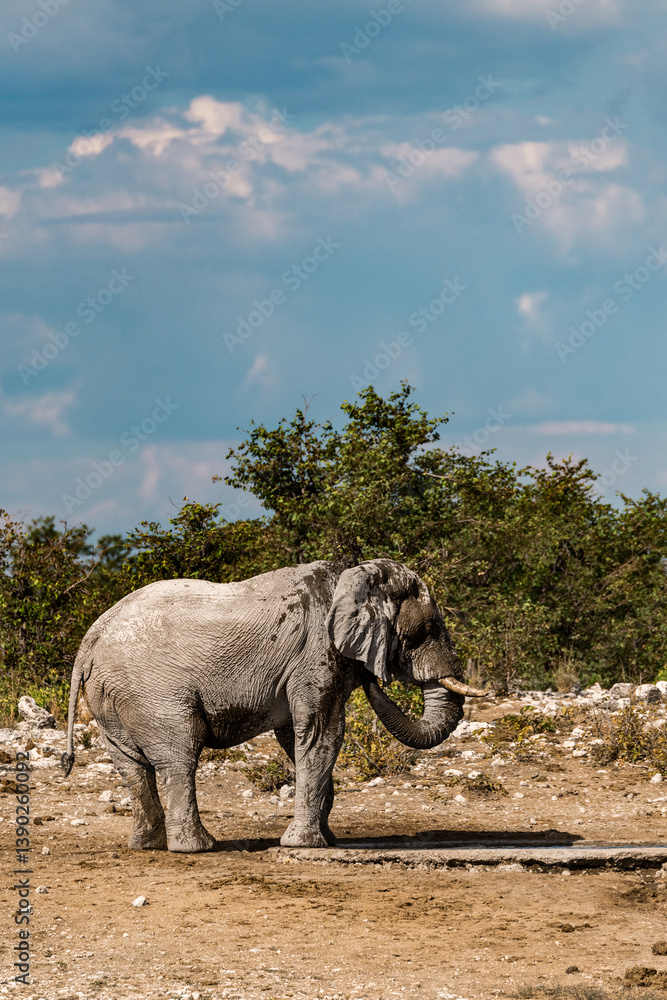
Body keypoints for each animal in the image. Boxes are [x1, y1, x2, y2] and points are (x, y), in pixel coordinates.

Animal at [62, 558, 485, 852]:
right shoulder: (316, 655)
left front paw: (327, 840)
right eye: (425, 630)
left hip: (111, 696)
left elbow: (296, 739)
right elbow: (321, 735)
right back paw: (199, 848)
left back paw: (147, 846)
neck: (352, 577)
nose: (371, 679)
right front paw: (307, 845)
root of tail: (90, 638)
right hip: (153, 691)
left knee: (132, 767)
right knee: (179, 756)